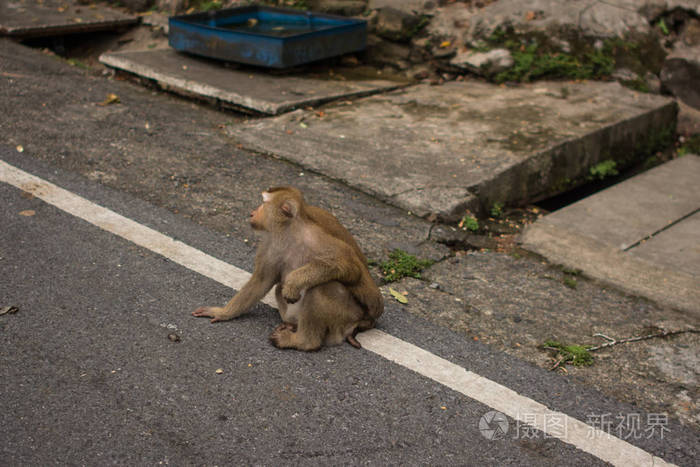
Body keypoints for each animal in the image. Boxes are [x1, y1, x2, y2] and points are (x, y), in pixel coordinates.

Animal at [191, 186, 382, 352]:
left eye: (263, 203)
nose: (252, 212)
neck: (289, 233)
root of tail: (357, 324)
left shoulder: (317, 239)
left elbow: (349, 266)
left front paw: (294, 282)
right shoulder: (270, 245)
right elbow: (262, 281)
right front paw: (222, 312)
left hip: (346, 317)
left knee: (323, 287)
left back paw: (304, 341)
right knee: (279, 288)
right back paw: (292, 326)